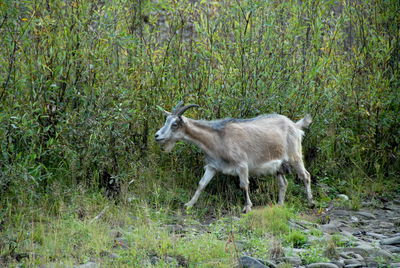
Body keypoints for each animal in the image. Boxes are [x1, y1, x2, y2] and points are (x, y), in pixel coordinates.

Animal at [155, 101, 314, 213]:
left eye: (175, 124)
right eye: (166, 121)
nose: (157, 136)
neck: (218, 138)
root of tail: (295, 125)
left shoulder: (242, 165)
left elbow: (244, 185)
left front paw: (247, 207)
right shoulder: (213, 166)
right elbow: (201, 184)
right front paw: (189, 204)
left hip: (294, 156)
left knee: (305, 175)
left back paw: (311, 202)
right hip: (278, 165)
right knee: (283, 183)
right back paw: (279, 205)